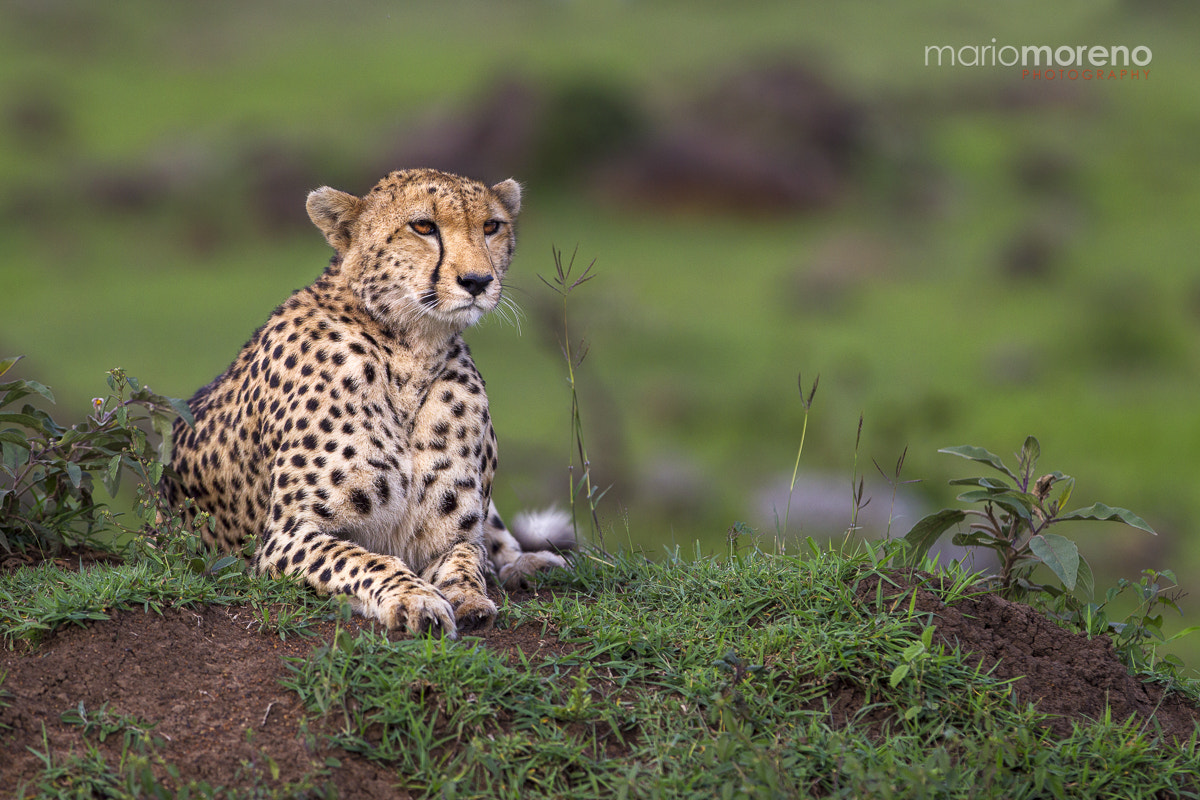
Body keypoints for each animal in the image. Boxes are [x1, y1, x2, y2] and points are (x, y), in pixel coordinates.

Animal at [162, 167, 573, 638]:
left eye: (491, 226)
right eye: (423, 226)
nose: (477, 282)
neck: (410, 353)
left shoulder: (455, 534)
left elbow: (467, 558)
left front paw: (469, 596)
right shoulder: (288, 536)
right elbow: (367, 560)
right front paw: (416, 598)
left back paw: (534, 563)